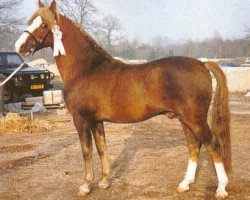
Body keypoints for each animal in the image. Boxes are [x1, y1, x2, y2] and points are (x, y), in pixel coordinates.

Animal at [15, 0, 230, 197]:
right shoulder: (96, 120)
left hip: (195, 119)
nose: (20, 46)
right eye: (32, 21)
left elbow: (86, 150)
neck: (86, 69)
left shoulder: (81, 119)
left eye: (43, 25)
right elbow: (101, 148)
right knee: (194, 147)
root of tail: (202, 64)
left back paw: (221, 188)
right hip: (185, 120)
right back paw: (184, 184)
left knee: (213, 145)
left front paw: (86, 185)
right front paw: (104, 181)